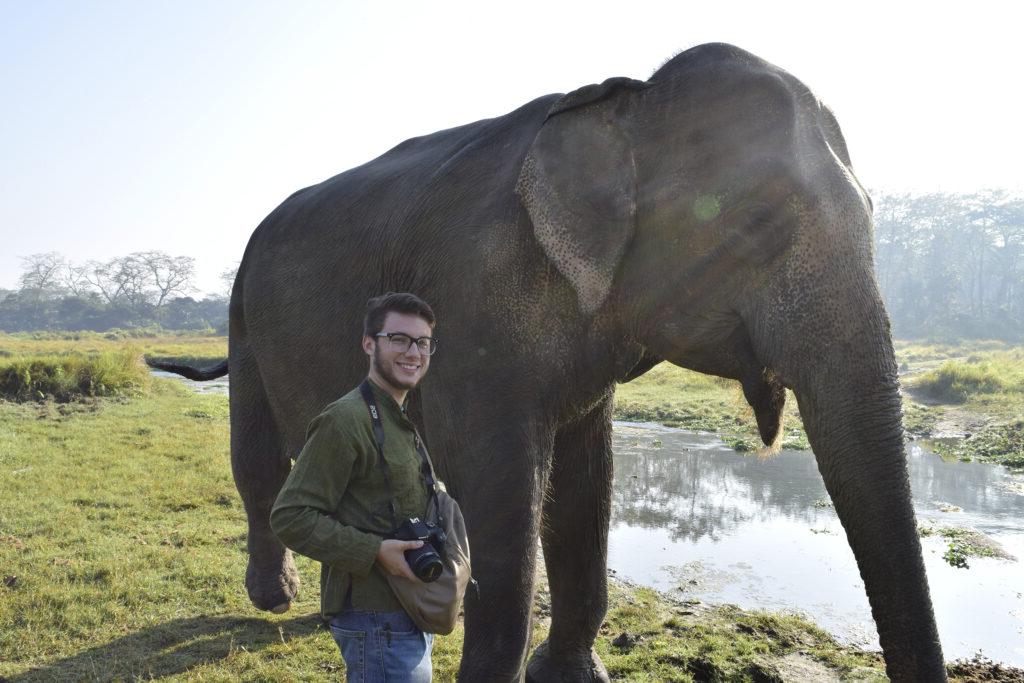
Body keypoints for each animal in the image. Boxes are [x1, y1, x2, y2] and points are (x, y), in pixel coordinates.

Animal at [157, 44, 942, 683]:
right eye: (758, 223)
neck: (621, 103)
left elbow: (584, 481)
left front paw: (568, 674)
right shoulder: (473, 299)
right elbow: (498, 489)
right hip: (242, 316)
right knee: (260, 461)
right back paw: (277, 599)